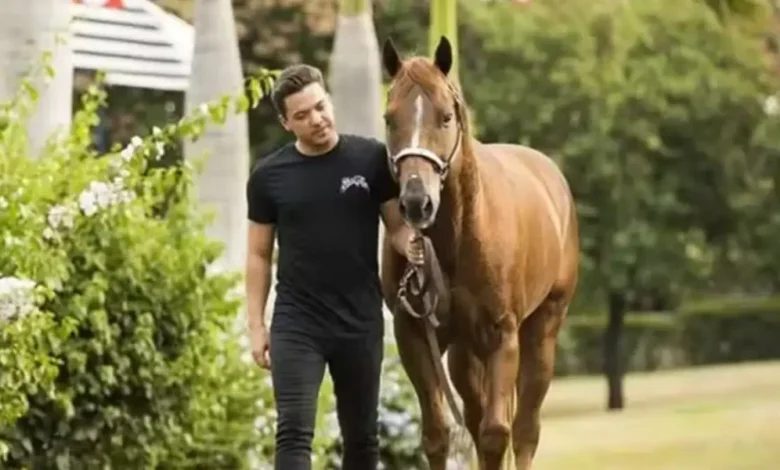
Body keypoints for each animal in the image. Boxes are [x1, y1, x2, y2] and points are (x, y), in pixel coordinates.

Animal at [378, 36, 580, 470]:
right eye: (389, 118)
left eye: (445, 117)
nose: (417, 203)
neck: (457, 240)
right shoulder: (414, 335)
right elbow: (438, 435)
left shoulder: (503, 337)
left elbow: (495, 435)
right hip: (464, 353)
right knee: (473, 418)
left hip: (542, 332)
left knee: (524, 431)